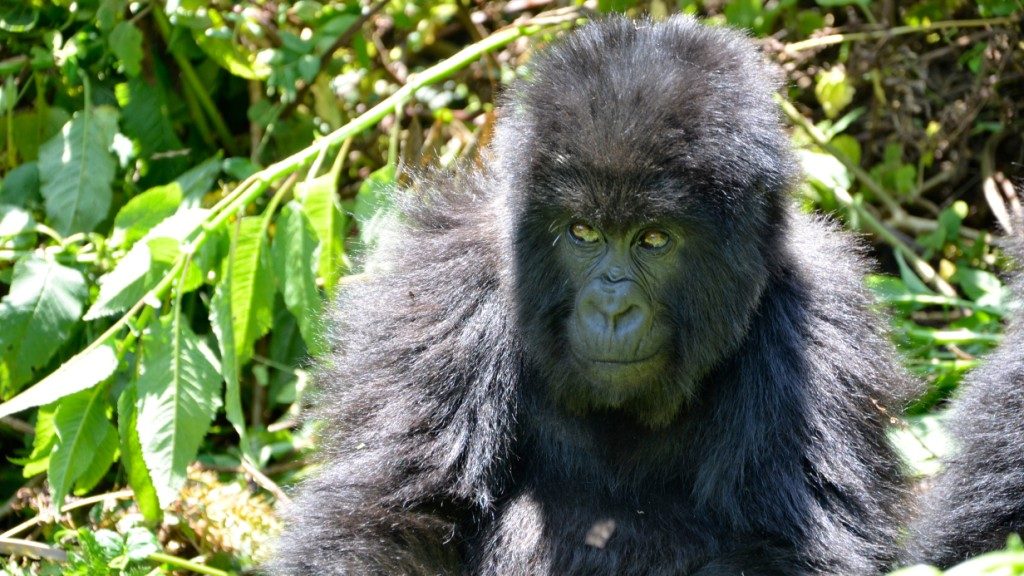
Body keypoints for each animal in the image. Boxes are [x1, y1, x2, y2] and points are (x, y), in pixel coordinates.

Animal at [268, 15, 917, 569]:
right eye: (582, 232)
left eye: (653, 239)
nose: (611, 307)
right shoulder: (444, 288)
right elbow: (388, 519)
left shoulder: (818, 325)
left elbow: (786, 551)